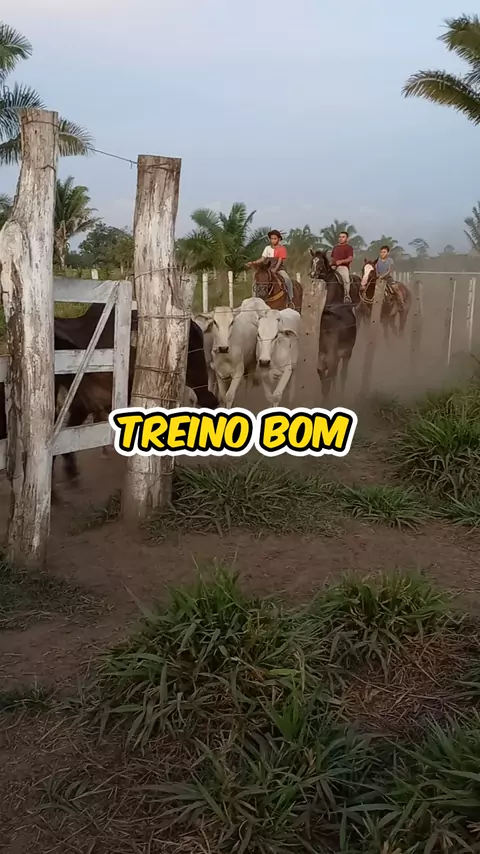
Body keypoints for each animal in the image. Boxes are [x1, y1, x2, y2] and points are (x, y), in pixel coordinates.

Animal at [309, 250, 358, 401]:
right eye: (312, 260)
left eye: (320, 262)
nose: (312, 274)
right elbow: (333, 379)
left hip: (335, 358)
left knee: (334, 377)